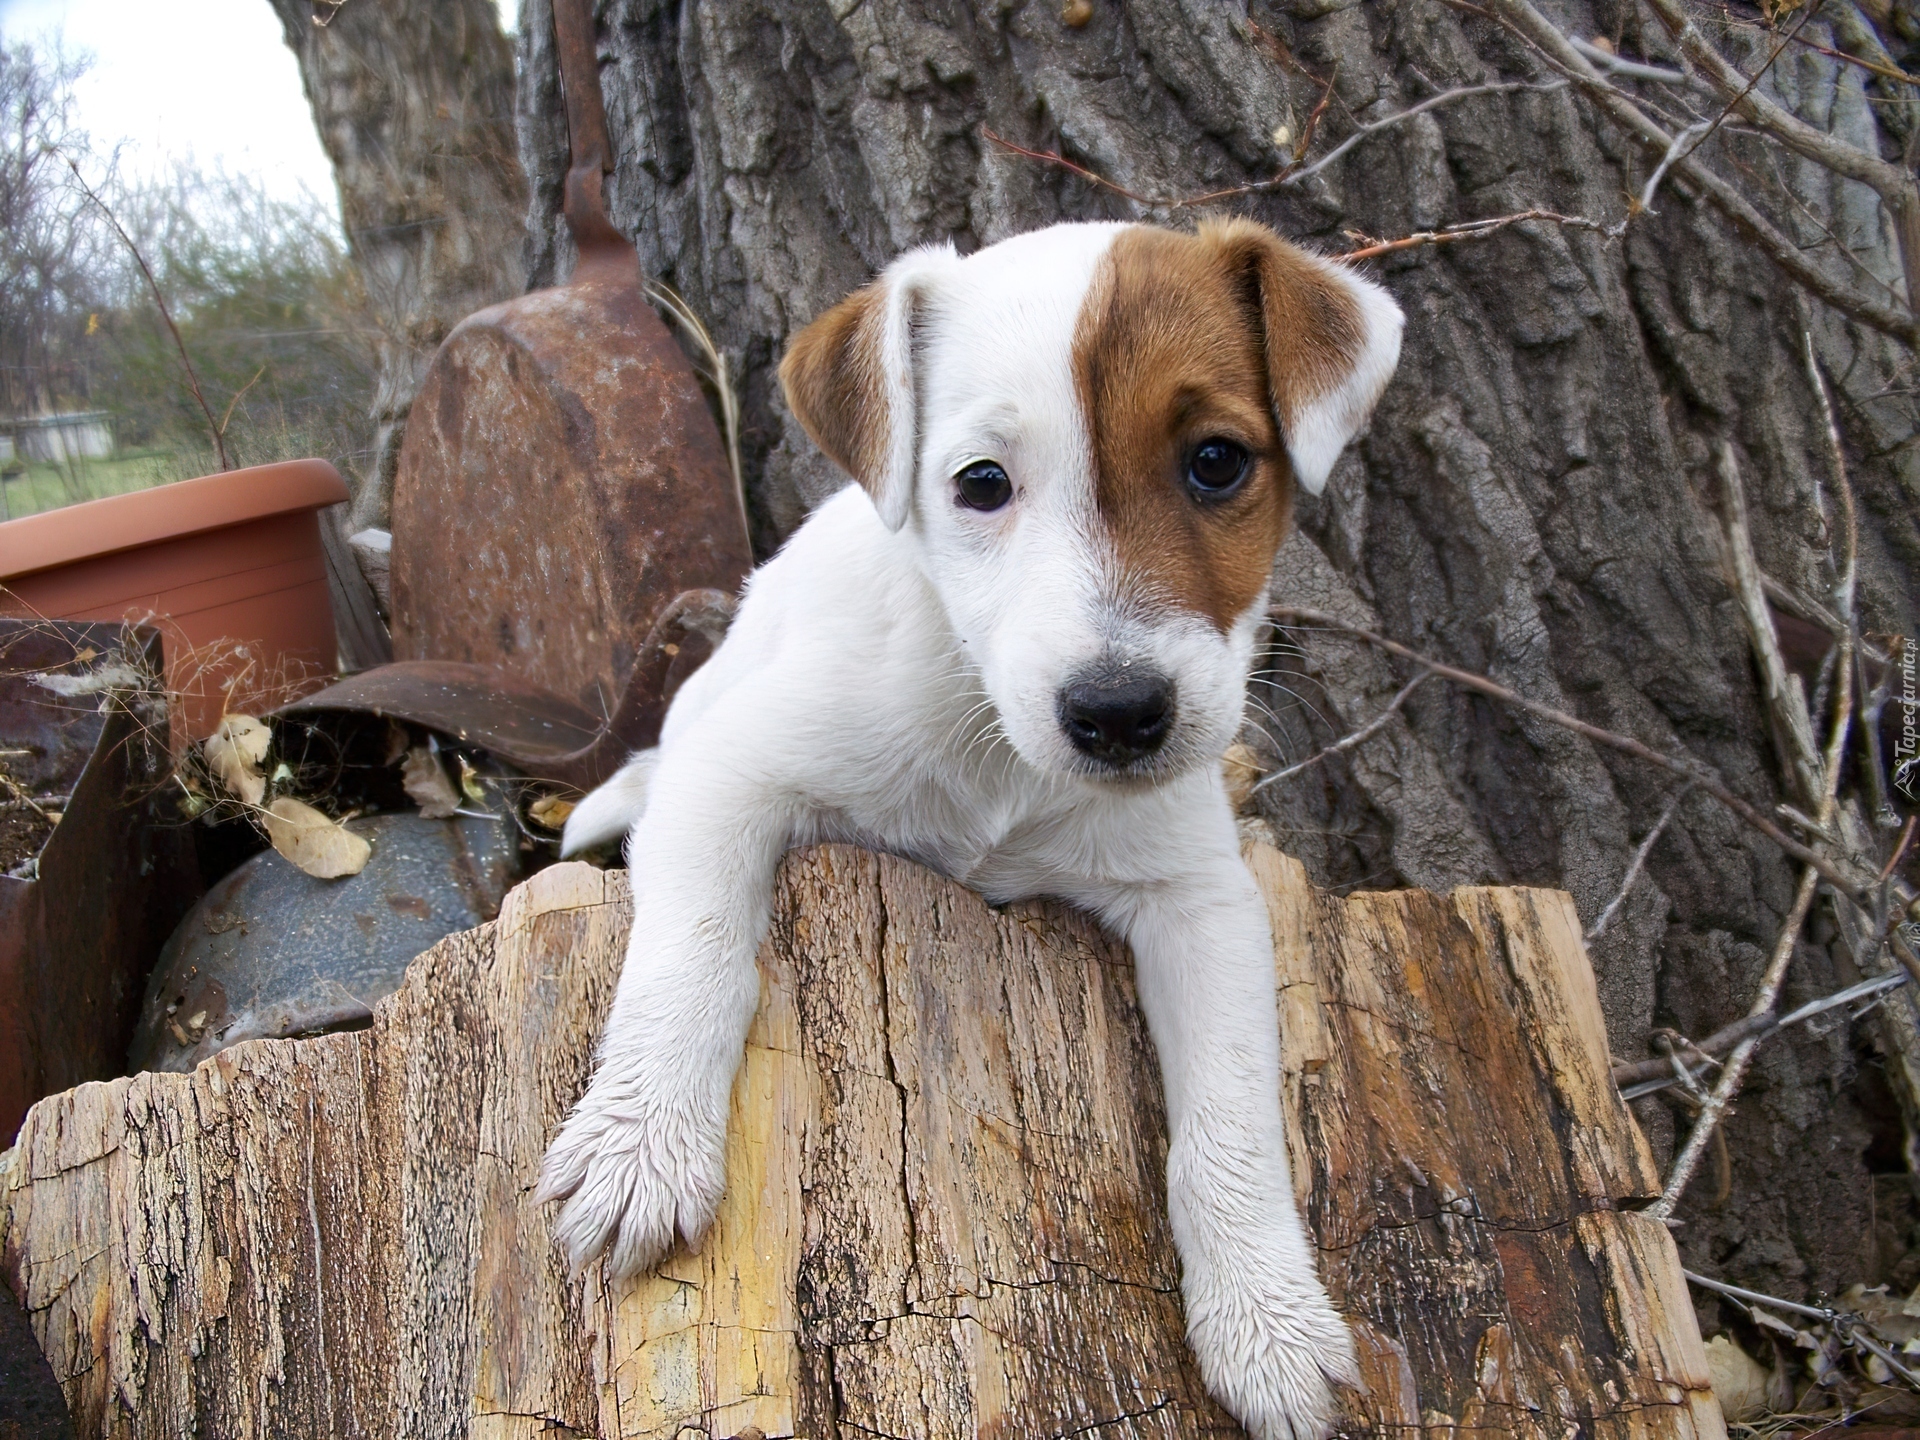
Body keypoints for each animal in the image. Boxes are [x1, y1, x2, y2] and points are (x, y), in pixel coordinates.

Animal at [545, 216, 1413, 1440]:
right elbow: (691, 958)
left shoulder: (1201, 898)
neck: (995, 754)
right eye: (983, 484)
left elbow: (1230, 1121)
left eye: (1217, 462)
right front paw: (640, 1147)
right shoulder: (731, 777)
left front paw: (1267, 1320)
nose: (1119, 715)